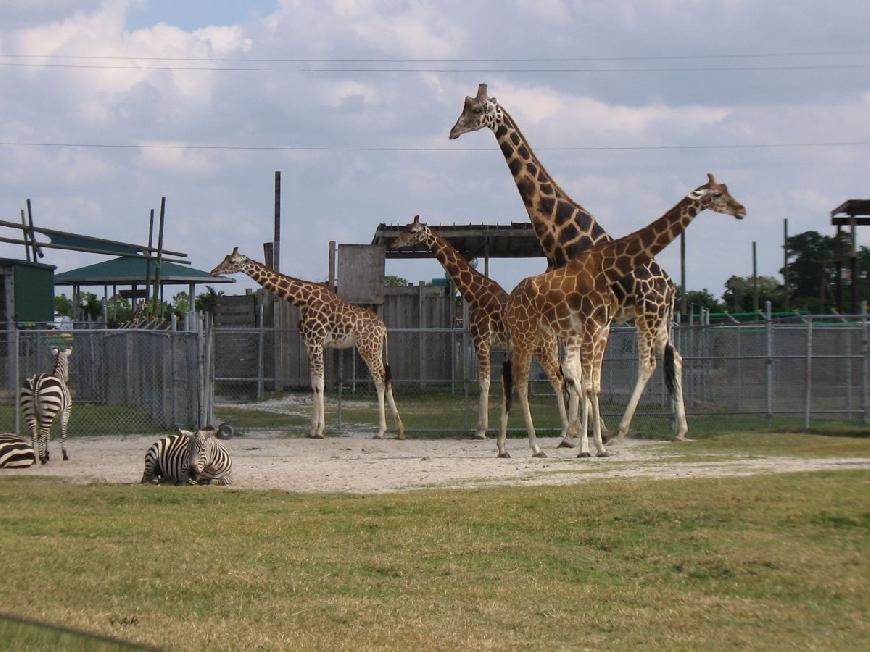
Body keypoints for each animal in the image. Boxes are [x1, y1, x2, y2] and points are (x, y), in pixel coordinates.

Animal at [211, 247, 406, 440]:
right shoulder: (308, 343)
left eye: (232, 261)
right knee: (385, 377)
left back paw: (381, 431)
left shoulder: (315, 342)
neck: (302, 300)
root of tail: (383, 328)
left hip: (367, 347)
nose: (214, 271)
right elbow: (314, 384)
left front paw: (319, 431)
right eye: (225, 258)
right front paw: (312, 429)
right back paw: (399, 430)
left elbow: (320, 384)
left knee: (379, 378)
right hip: (376, 348)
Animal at [392, 216, 576, 446]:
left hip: (545, 348)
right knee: (560, 380)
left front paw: (480, 430)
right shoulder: (486, 343)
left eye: (412, 231)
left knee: (558, 380)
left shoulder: (481, 340)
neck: (474, 294)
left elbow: (484, 382)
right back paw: (568, 430)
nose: (394, 244)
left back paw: (565, 431)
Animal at [456, 84, 696, 444]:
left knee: (649, 363)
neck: (558, 233)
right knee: (675, 358)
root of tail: (670, 287)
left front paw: (583, 432)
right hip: (657, 317)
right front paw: (572, 431)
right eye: (464, 106)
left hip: (648, 313)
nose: (453, 131)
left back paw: (622, 429)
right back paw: (679, 429)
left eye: (475, 110)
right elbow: (571, 371)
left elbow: (576, 371)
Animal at [500, 174, 744, 458]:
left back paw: (505, 447)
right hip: (527, 335)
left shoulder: (600, 327)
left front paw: (598, 446)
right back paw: (535, 446)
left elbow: (593, 385)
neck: (607, 266)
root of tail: (509, 303)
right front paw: (586, 447)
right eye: (716, 195)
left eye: (725, 189)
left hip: (537, 335)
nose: (741, 210)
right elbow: (586, 383)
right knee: (520, 381)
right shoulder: (591, 327)